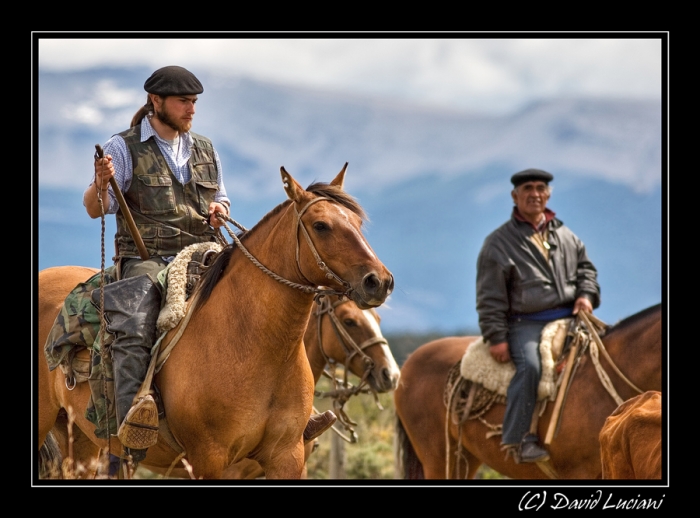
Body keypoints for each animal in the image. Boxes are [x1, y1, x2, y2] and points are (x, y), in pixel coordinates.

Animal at [38, 166, 394, 484]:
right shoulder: (212, 461)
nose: (379, 281)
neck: (255, 346)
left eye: (358, 223)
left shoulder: (287, 457)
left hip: (82, 439)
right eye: (321, 225)